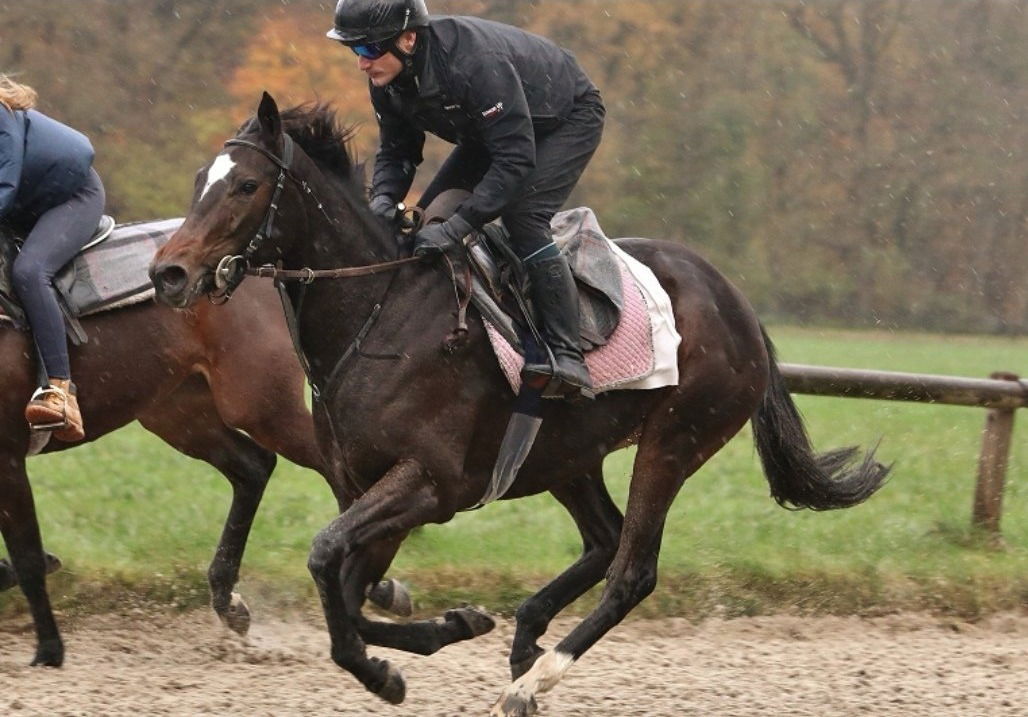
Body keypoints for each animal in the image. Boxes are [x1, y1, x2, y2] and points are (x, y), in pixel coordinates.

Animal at [149, 93, 888, 711]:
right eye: (200, 180)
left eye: (246, 185)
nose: (167, 273)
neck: (380, 311)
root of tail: (735, 301)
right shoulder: (364, 486)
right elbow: (348, 589)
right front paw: (448, 628)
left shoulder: (428, 483)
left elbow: (329, 559)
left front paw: (387, 670)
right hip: (567, 452)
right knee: (604, 537)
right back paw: (526, 635)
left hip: (675, 440)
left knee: (633, 569)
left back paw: (533, 680)